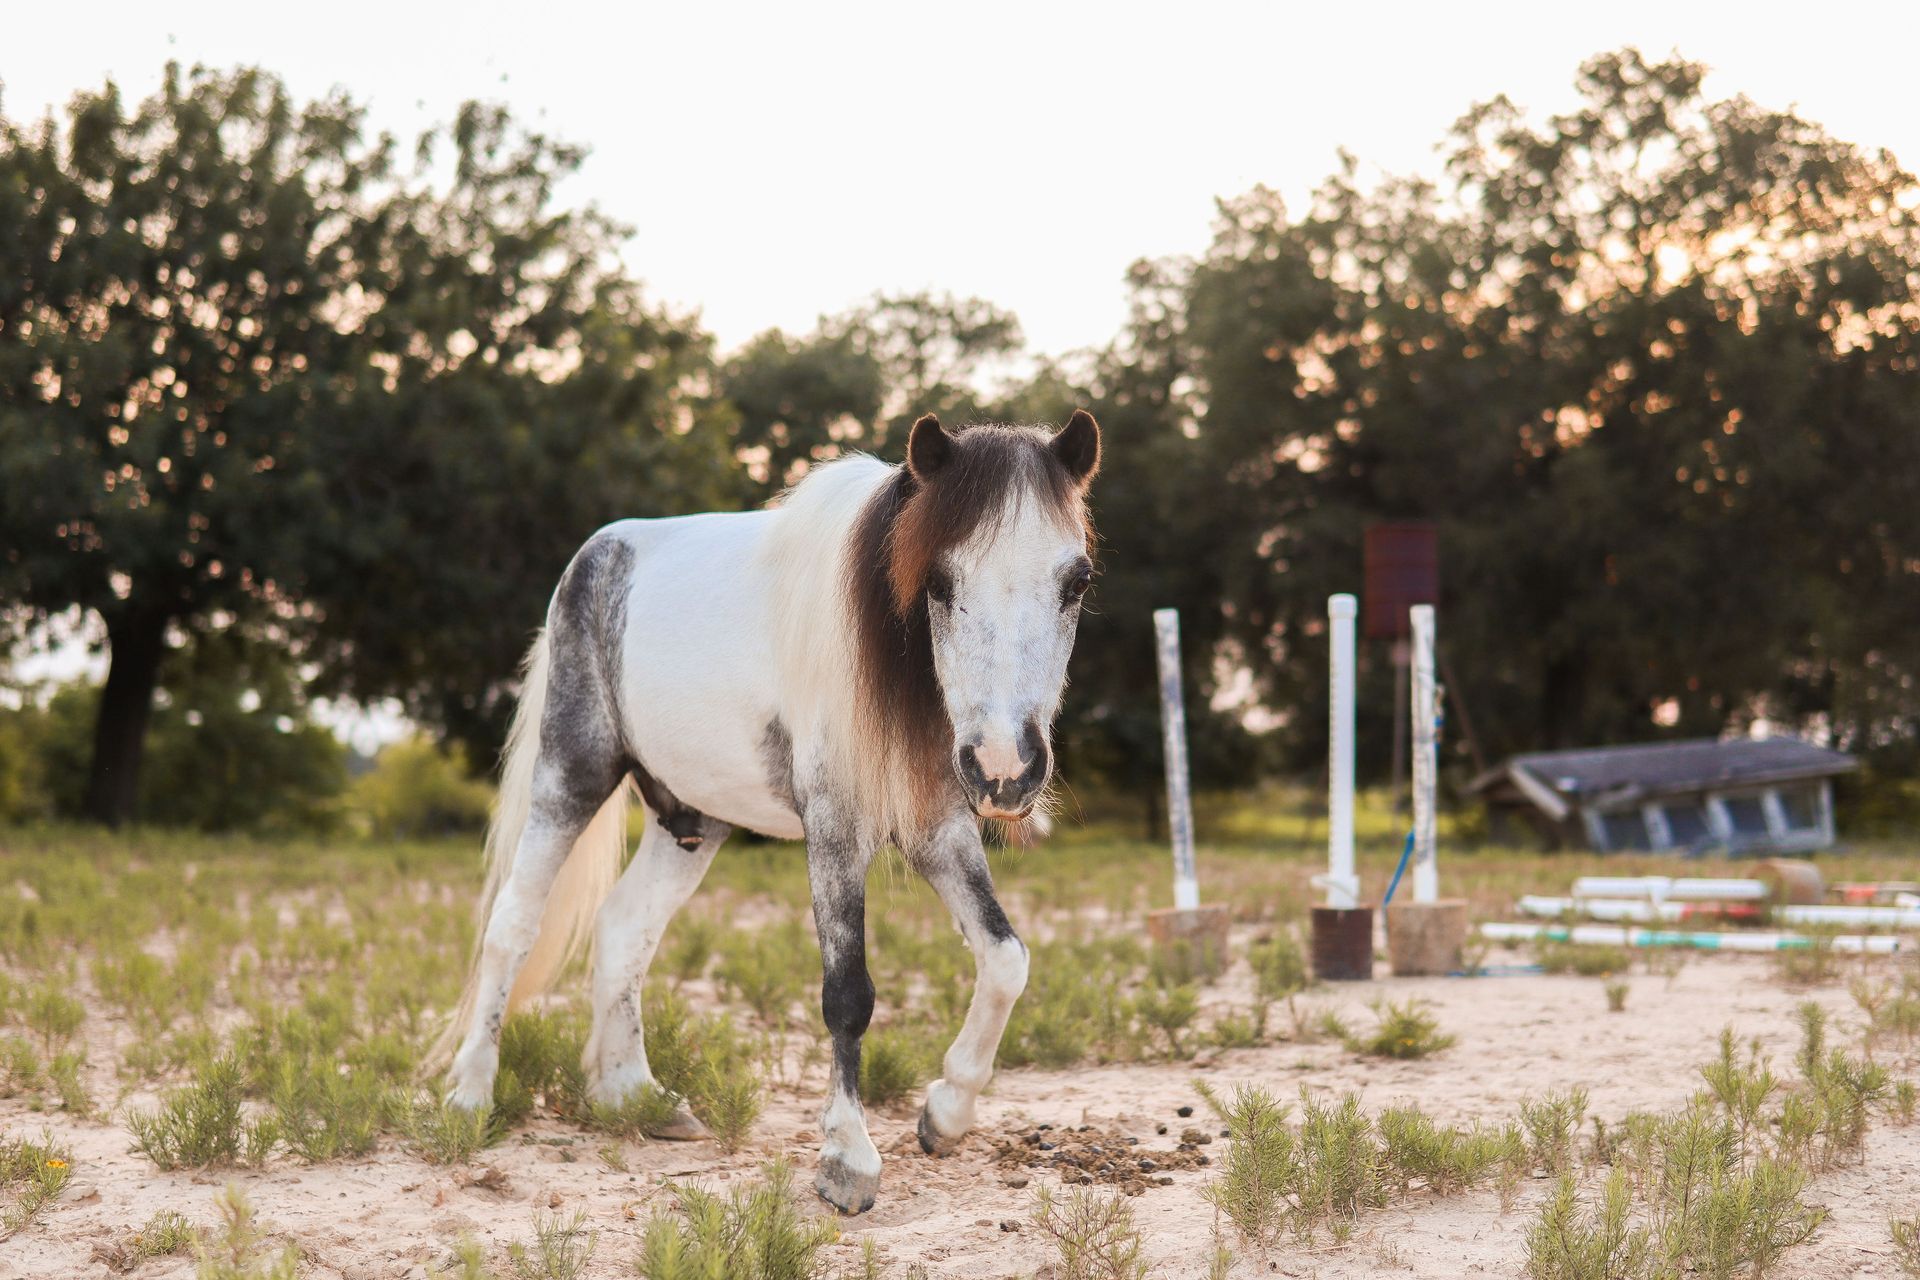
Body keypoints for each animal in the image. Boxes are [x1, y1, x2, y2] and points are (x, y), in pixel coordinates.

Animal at [433, 409, 1101, 1213]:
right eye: (938, 580)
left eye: (1077, 582)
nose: (1006, 766)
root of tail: (593, 556)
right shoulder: (836, 828)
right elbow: (848, 993)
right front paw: (847, 1160)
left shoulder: (939, 829)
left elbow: (1005, 959)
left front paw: (946, 1113)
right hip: (571, 775)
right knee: (513, 924)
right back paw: (469, 1097)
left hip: (692, 819)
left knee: (625, 927)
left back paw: (636, 1098)